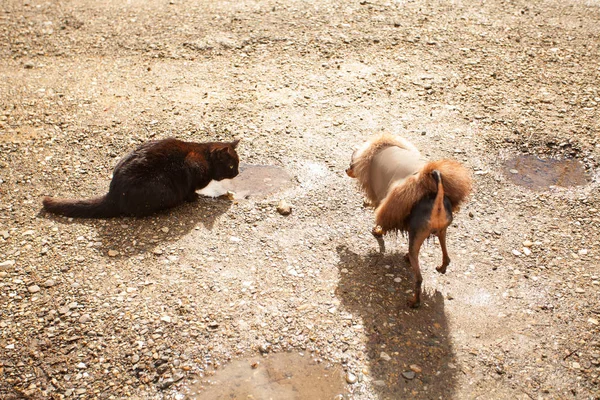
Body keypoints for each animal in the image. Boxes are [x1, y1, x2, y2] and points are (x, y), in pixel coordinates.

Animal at [42, 138, 239, 219]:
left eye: (237, 165)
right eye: (231, 166)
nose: (237, 173)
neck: (204, 154)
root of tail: (113, 195)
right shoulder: (192, 166)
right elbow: (191, 189)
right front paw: (195, 197)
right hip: (163, 188)